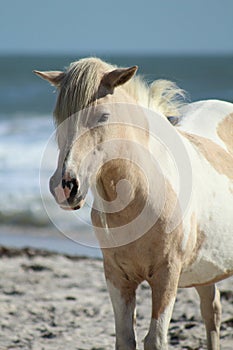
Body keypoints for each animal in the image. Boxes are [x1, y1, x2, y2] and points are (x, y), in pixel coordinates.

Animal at [34, 56, 233, 348]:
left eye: (103, 116)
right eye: (59, 117)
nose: (66, 186)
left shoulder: (166, 277)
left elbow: (155, 339)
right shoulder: (118, 278)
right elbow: (126, 338)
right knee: (212, 312)